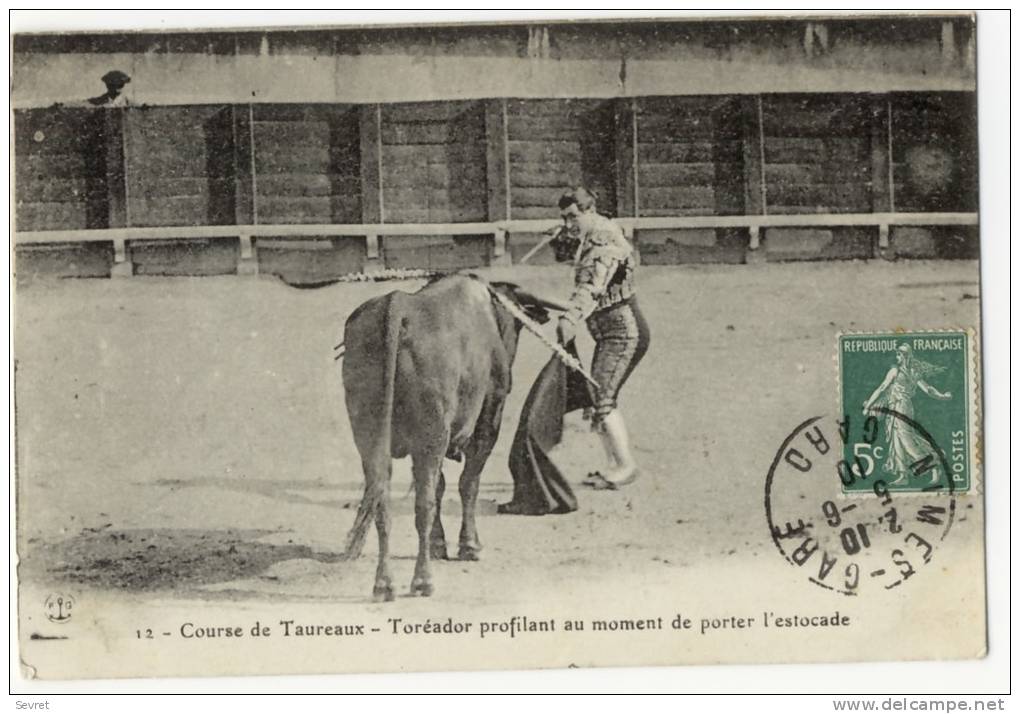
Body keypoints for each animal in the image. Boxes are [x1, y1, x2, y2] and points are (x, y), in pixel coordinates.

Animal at [340, 275, 558, 599]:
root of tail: (398, 307)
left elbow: (442, 485)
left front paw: (438, 543)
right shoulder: (487, 421)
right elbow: (468, 483)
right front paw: (469, 545)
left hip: (368, 434)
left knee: (383, 498)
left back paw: (384, 583)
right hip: (431, 436)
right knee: (423, 504)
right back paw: (422, 580)